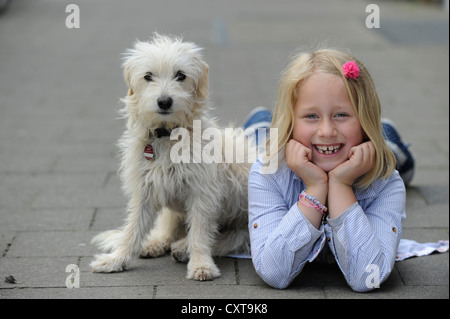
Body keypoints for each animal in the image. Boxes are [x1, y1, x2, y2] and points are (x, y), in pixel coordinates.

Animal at [89, 33, 251, 282]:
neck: (167, 137)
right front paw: (117, 259)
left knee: (232, 238)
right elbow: (133, 228)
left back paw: (183, 248)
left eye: (180, 75)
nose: (164, 101)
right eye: (148, 76)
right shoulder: (144, 191)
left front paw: (201, 264)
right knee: (168, 230)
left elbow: (201, 233)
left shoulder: (202, 193)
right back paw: (155, 243)